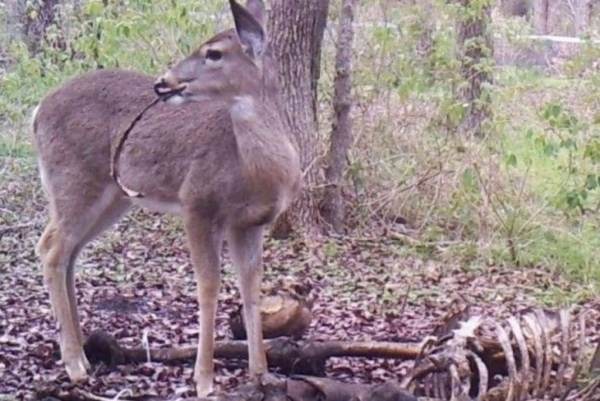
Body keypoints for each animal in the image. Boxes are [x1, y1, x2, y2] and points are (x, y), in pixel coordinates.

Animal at [32, 0, 300, 394]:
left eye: (214, 53)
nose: (164, 81)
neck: (255, 170)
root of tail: (37, 111)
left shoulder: (250, 224)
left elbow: (251, 289)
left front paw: (261, 373)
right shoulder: (197, 203)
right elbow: (209, 287)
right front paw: (204, 381)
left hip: (113, 197)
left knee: (69, 252)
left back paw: (83, 350)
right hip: (73, 180)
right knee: (51, 249)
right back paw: (75, 365)